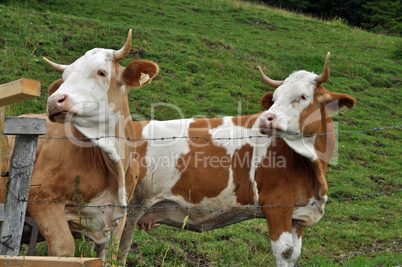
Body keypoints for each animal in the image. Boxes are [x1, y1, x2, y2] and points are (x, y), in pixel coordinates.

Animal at [0, 30, 160, 262]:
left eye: (101, 72)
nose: (53, 101)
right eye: (64, 78)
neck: (113, 169)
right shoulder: (43, 200)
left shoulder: (118, 218)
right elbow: (64, 249)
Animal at [118, 52, 356, 267]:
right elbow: (285, 253)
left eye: (303, 96)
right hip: (128, 210)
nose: (266, 118)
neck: (312, 167)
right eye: (275, 98)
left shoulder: (298, 215)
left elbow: (294, 255)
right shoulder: (277, 205)